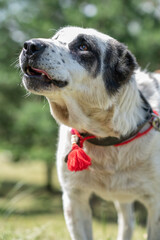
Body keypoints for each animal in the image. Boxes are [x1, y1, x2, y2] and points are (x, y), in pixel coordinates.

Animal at [19, 26, 160, 240]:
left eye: (83, 46)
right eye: (55, 38)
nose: (29, 45)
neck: (105, 137)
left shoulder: (155, 206)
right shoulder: (74, 198)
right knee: (127, 222)